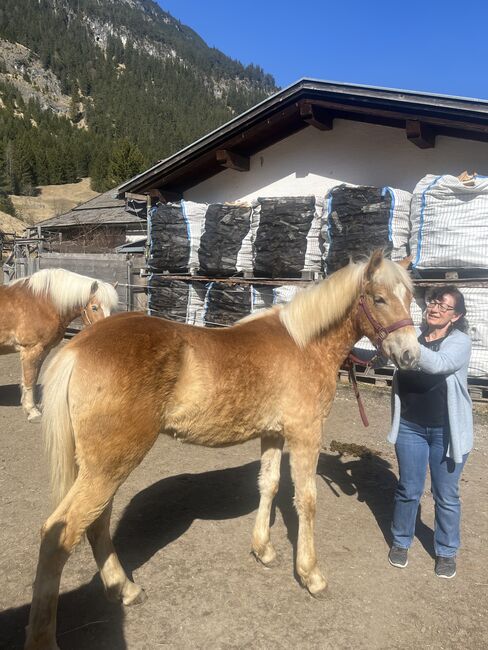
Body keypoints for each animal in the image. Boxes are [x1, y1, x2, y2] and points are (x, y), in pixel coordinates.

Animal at [0, 267, 119, 421]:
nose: (106, 332)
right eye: (94, 307)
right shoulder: (31, 350)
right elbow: (29, 379)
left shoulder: (42, 350)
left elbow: (33, 377)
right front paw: (32, 411)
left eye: (112, 308)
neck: (42, 303)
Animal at [25, 250, 420, 650]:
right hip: (111, 464)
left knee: (97, 522)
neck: (303, 344)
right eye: (379, 299)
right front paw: (311, 575)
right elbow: (306, 501)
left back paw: (125, 589)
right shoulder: (305, 434)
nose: (410, 355)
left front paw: (263, 550)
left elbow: (269, 485)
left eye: (410, 298)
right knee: (60, 533)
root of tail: (78, 348)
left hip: (101, 466)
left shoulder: (273, 434)